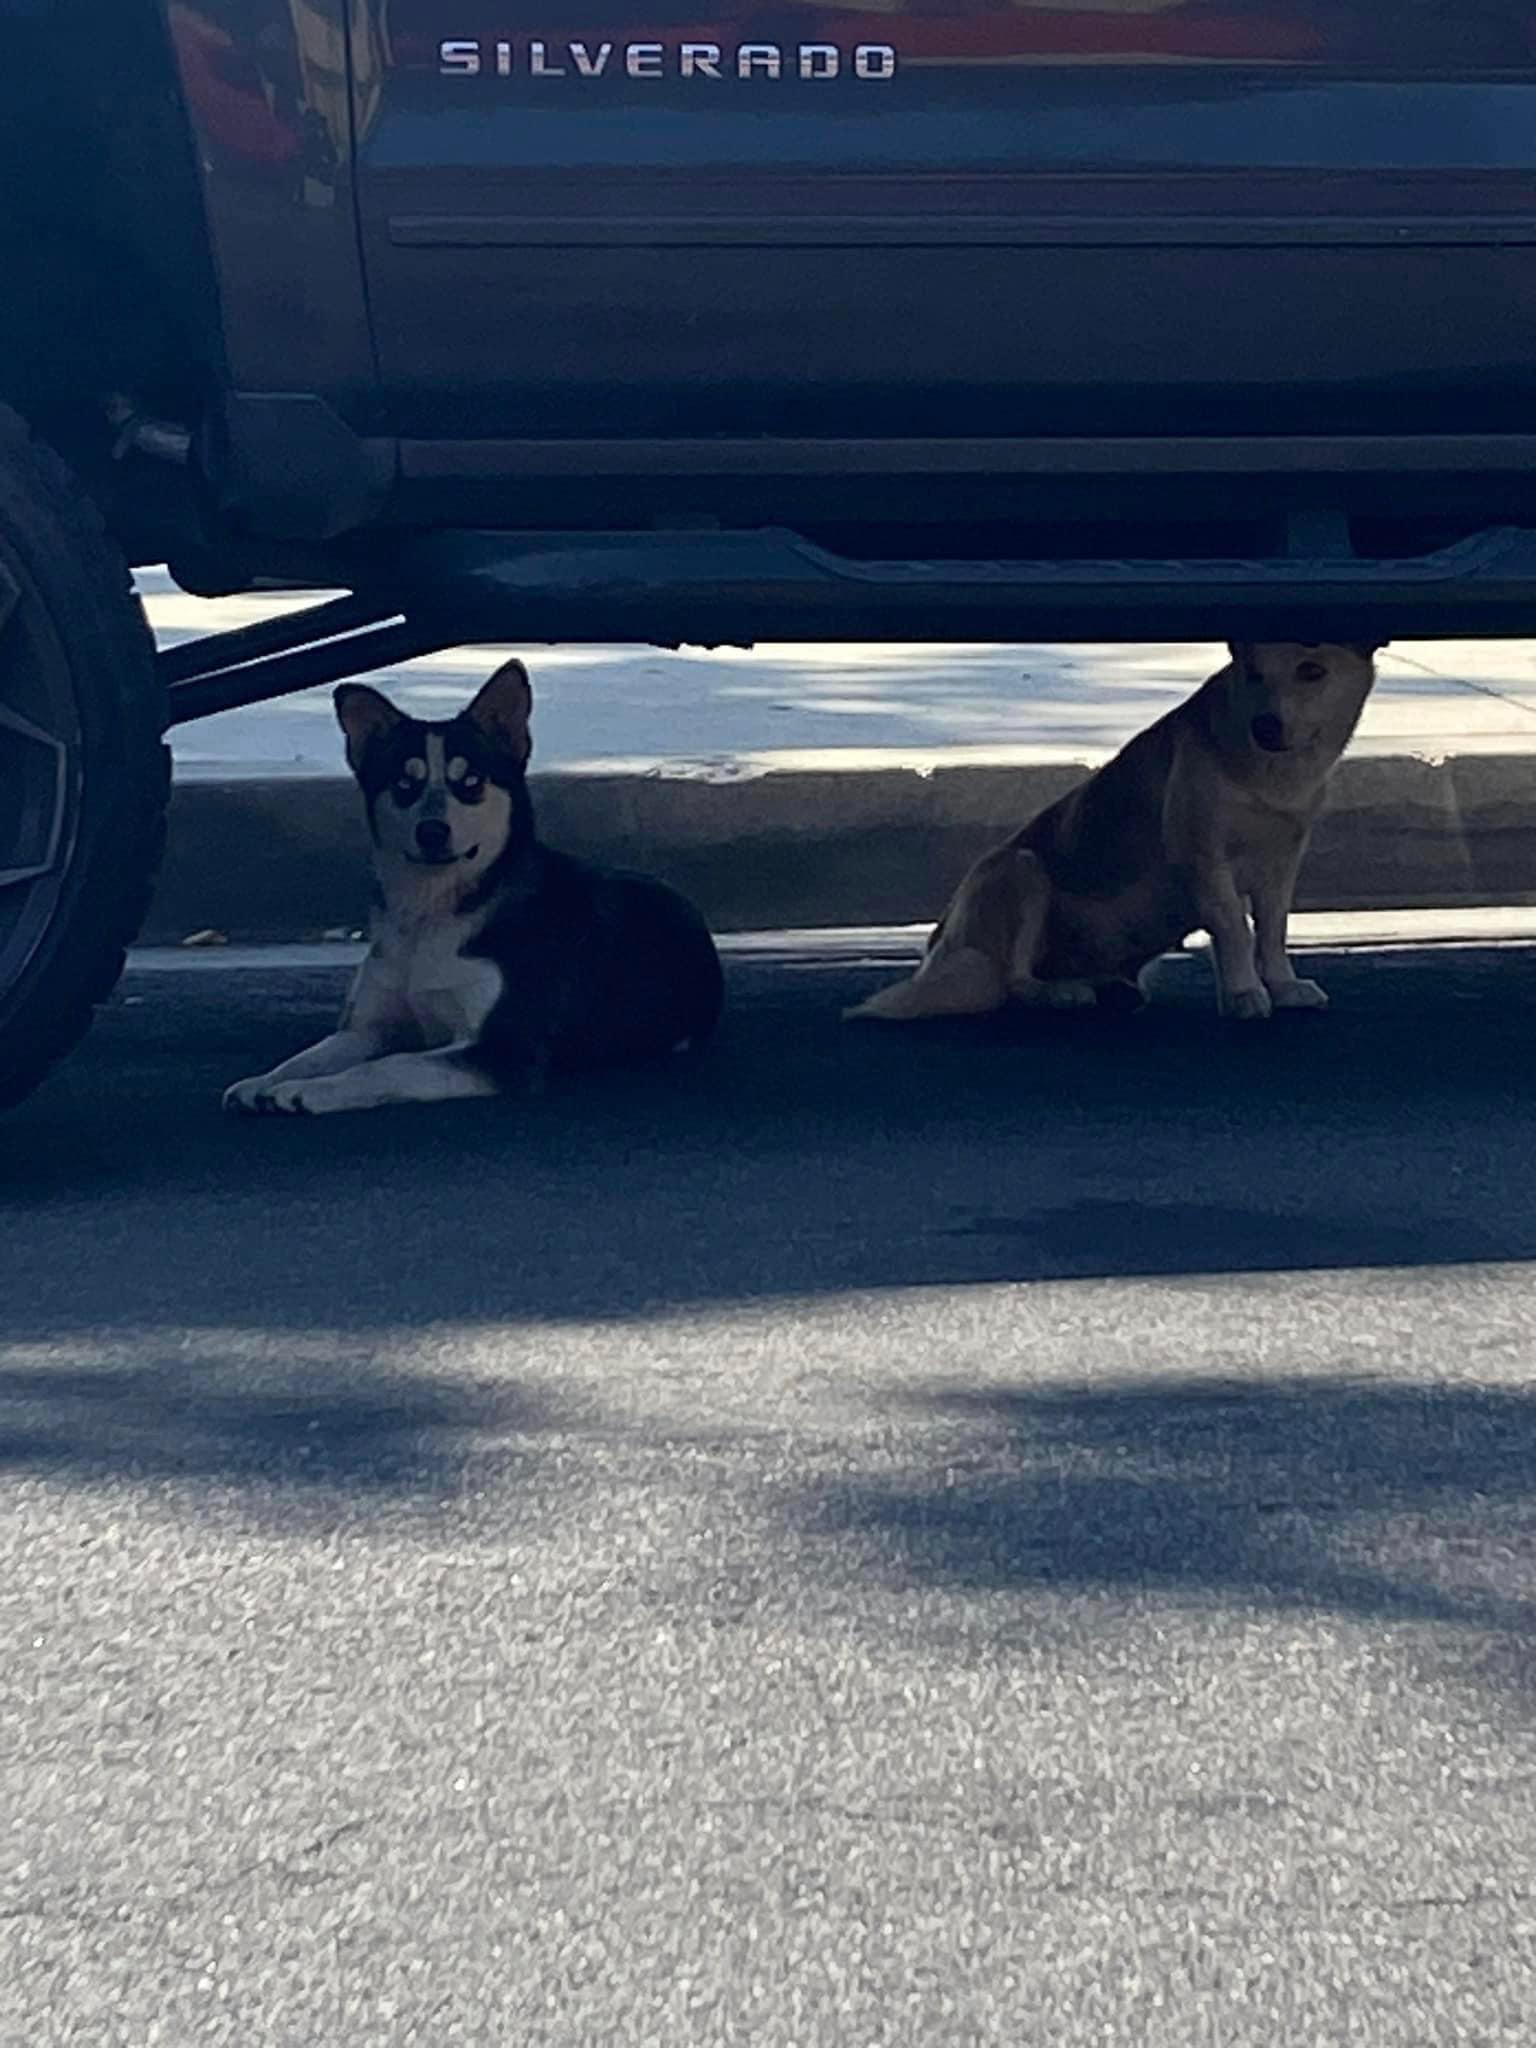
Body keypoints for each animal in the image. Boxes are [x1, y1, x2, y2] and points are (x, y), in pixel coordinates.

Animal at [224, 659, 729, 1122]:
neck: (429, 913)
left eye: (470, 782)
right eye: (404, 783)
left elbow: (389, 1065)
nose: (432, 832)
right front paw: (266, 1080)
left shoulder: (504, 1049)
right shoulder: (366, 1029)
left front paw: (314, 1091)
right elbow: (310, 1055)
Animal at [847, 638, 1392, 1024]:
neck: (1268, 772)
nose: (1265, 726)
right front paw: (1243, 994)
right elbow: (1237, 929)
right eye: (1252, 673)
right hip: (1022, 870)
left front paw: (1281, 986)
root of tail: (938, 951)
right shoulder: (1204, 857)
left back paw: (1108, 987)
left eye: (1311, 671)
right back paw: (1059, 992)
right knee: (1014, 981)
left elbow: (1272, 931)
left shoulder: (1281, 863)